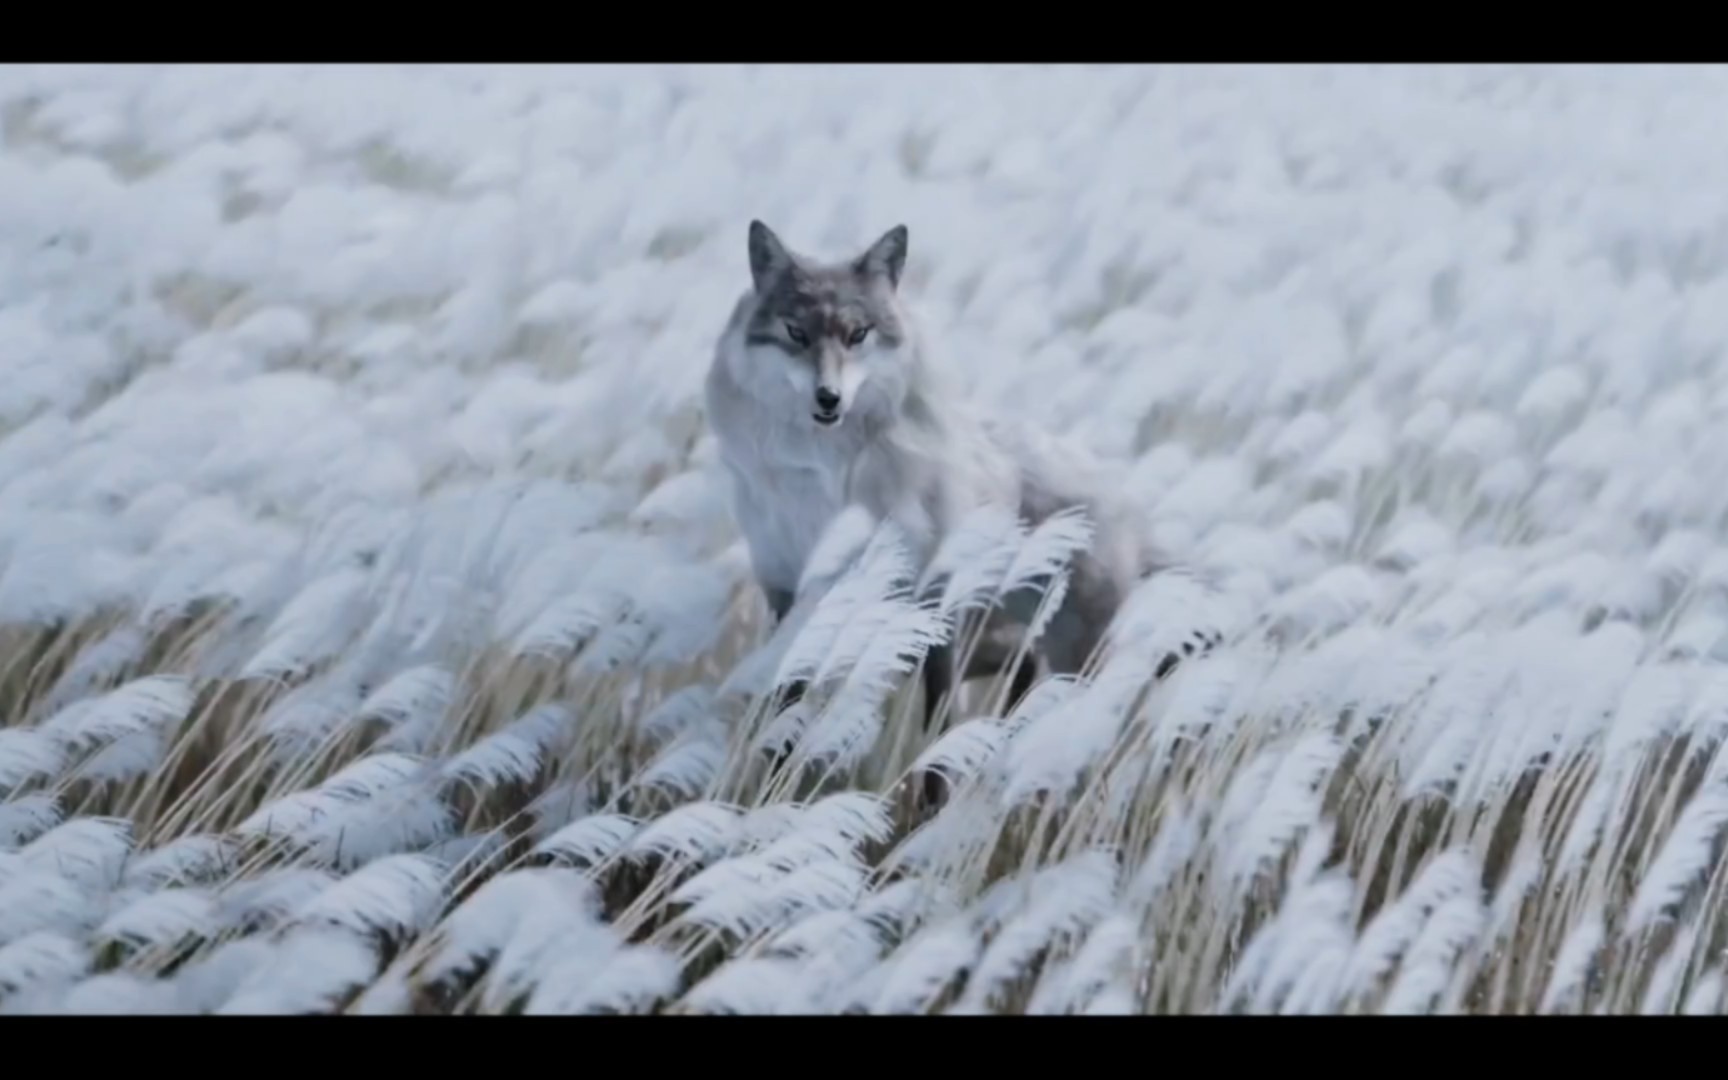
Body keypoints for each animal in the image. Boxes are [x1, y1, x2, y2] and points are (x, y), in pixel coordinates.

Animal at [701, 220, 1216, 739]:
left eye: (858, 335)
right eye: (796, 333)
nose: (829, 398)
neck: (827, 484)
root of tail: (1124, 501)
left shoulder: (936, 606)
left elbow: (936, 728)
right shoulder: (787, 590)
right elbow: (786, 701)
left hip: (1061, 654)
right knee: (1022, 667)